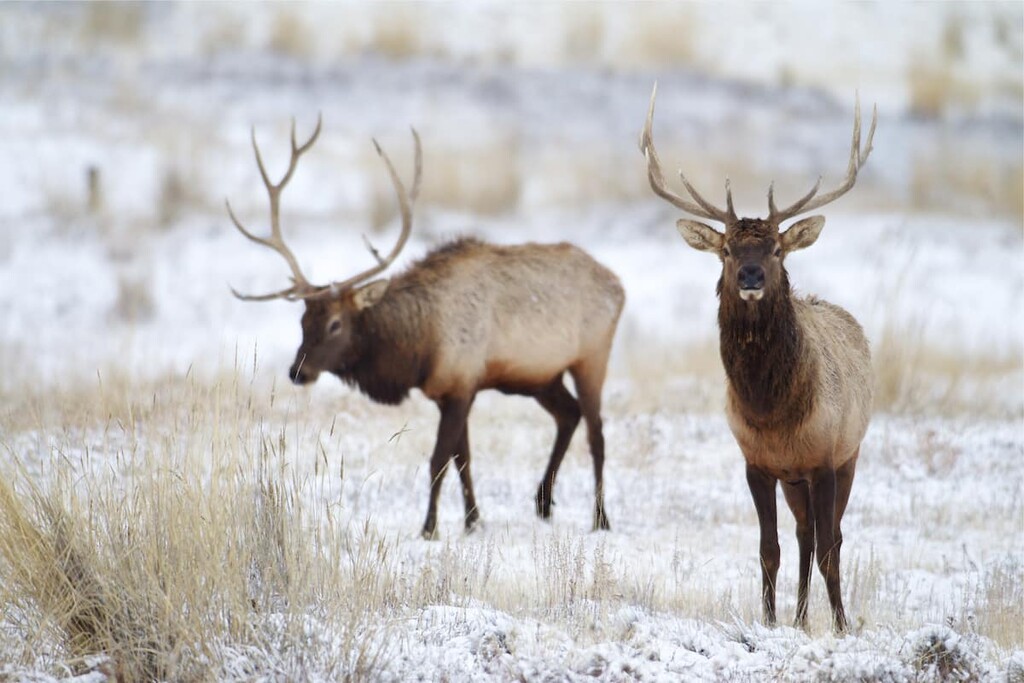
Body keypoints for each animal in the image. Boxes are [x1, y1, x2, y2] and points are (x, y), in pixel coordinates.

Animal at [226, 116, 625, 540]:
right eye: (302, 321)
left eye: (335, 324)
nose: (297, 372)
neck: (419, 346)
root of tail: (618, 284)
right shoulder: (449, 390)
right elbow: (463, 458)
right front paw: (472, 521)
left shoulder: (462, 383)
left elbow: (438, 460)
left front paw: (429, 527)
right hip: (540, 376)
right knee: (569, 415)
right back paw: (543, 502)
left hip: (592, 356)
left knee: (597, 432)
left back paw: (600, 518)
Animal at [639, 85, 875, 633]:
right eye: (726, 249)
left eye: (777, 250)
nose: (750, 276)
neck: (773, 413)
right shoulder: (757, 462)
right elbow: (769, 549)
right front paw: (768, 622)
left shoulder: (826, 457)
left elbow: (831, 548)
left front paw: (841, 627)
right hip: (795, 480)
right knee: (804, 535)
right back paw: (799, 617)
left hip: (850, 454)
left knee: (829, 537)